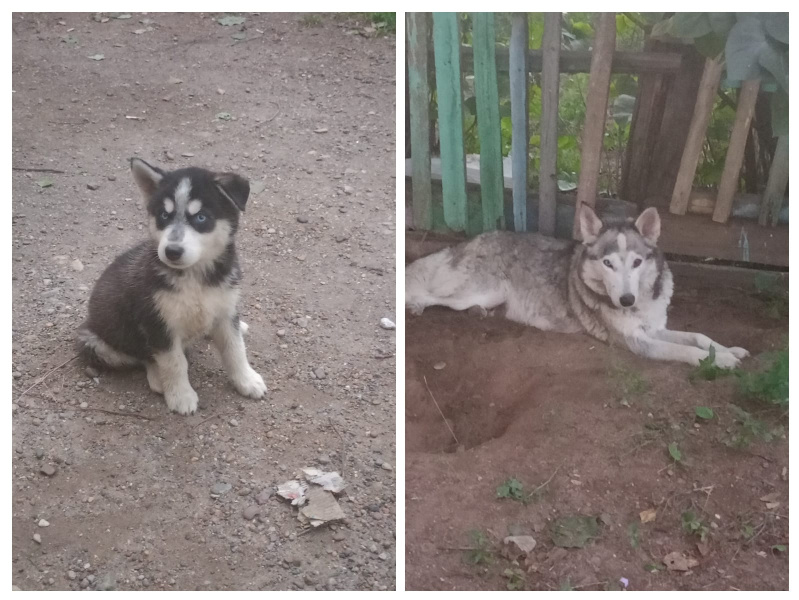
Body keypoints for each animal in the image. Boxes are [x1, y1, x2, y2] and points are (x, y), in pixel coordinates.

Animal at [77, 157, 268, 414]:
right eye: (163, 216)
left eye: (201, 218)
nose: (172, 251)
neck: (195, 277)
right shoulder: (157, 323)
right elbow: (174, 362)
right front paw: (180, 395)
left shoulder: (226, 309)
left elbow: (235, 349)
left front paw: (247, 380)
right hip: (96, 344)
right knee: (144, 356)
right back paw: (158, 378)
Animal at [406, 204, 752, 368]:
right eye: (608, 263)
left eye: (637, 263)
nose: (626, 300)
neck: (640, 305)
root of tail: (472, 238)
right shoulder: (638, 342)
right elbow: (686, 350)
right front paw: (721, 361)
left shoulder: (654, 328)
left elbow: (698, 337)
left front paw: (729, 350)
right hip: (479, 290)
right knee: (427, 290)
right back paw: (415, 304)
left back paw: (480, 314)